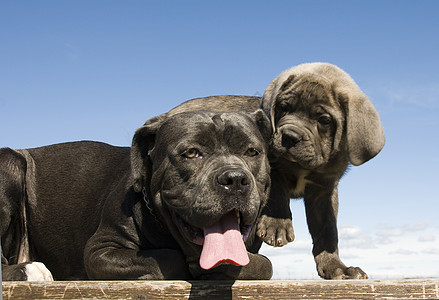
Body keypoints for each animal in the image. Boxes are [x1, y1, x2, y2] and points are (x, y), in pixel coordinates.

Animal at [0, 110, 274, 282]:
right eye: (191, 153)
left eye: (252, 151)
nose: (234, 179)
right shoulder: (101, 250)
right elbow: (168, 258)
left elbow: (263, 265)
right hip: (10, 163)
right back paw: (30, 270)